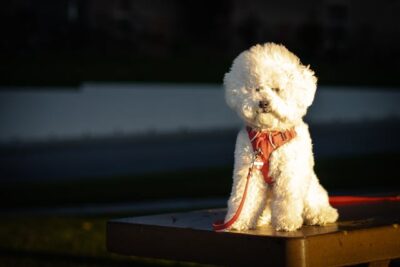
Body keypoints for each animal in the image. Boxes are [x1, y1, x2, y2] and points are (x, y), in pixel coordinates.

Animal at [222, 43, 338, 232]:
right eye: (257, 88)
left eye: (276, 89)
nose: (263, 103)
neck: (269, 134)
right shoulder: (248, 170)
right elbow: (244, 198)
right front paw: (238, 221)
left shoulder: (289, 171)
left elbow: (287, 197)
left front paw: (286, 222)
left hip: (310, 189)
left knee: (315, 204)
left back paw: (323, 215)